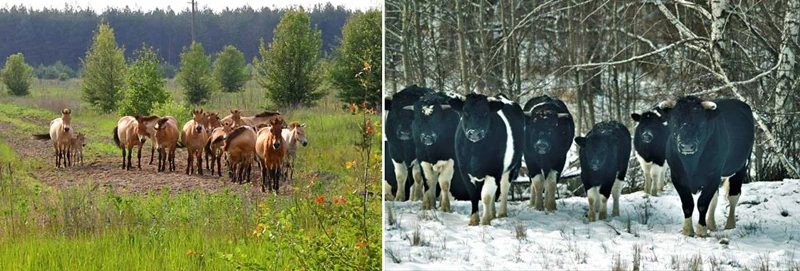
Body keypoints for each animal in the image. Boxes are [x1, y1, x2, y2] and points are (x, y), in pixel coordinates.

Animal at [450, 94, 524, 226]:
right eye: (465, 112)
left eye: (485, 112)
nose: (474, 133)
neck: (475, 152)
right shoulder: (464, 171)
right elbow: (474, 195)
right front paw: (474, 220)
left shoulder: (494, 171)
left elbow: (486, 196)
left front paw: (484, 221)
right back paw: (492, 214)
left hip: (510, 167)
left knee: (504, 188)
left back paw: (501, 213)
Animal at [660, 96, 752, 238]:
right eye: (674, 121)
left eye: (702, 123)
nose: (687, 145)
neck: (691, 164)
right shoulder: (677, 176)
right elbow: (687, 204)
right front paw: (687, 230)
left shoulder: (712, 176)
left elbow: (703, 203)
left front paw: (701, 230)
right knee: (715, 198)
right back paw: (711, 225)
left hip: (741, 166)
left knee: (733, 196)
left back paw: (730, 225)